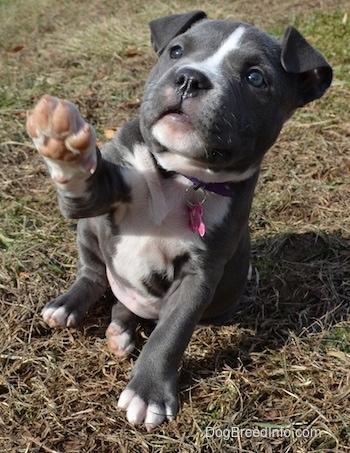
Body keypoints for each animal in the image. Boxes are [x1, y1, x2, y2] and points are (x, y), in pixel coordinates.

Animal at [26, 9, 330, 428]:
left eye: (255, 77)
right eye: (176, 51)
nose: (189, 77)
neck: (181, 177)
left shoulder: (200, 275)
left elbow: (171, 332)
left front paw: (148, 393)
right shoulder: (98, 197)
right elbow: (84, 184)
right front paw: (63, 142)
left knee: (127, 308)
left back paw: (120, 334)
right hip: (90, 233)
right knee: (94, 274)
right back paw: (67, 307)